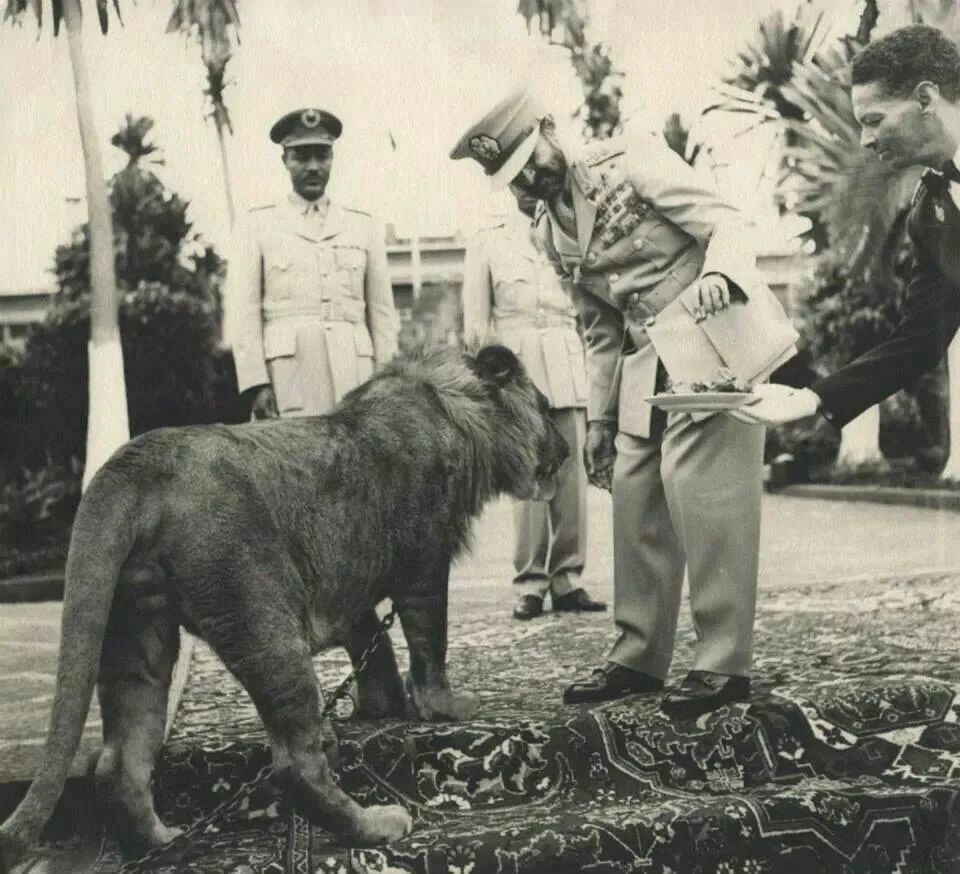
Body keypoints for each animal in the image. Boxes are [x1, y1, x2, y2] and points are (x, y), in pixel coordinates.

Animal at [0, 342, 568, 864]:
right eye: (545, 406)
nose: (565, 451)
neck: (452, 407)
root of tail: (131, 465)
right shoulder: (425, 563)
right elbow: (431, 645)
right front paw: (443, 707)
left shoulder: (351, 587)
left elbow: (374, 648)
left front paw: (382, 706)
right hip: (263, 620)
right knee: (294, 762)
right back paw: (376, 826)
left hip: (135, 632)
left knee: (119, 762)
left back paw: (163, 842)